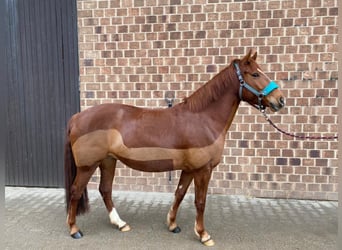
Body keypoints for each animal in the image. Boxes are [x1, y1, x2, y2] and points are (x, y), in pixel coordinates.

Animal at [64, 49, 284, 246]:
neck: (203, 119)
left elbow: (179, 194)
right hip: (88, 166)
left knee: (105, 189)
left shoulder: (189, 169)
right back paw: (74, 229)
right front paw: (203, 234)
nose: (280, 99)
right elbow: (200, 202)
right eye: (255, 74)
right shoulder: (203, 170)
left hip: (108, 161)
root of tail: (76, 117)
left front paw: (172, 224)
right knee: (76, 191)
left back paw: (120, 223)